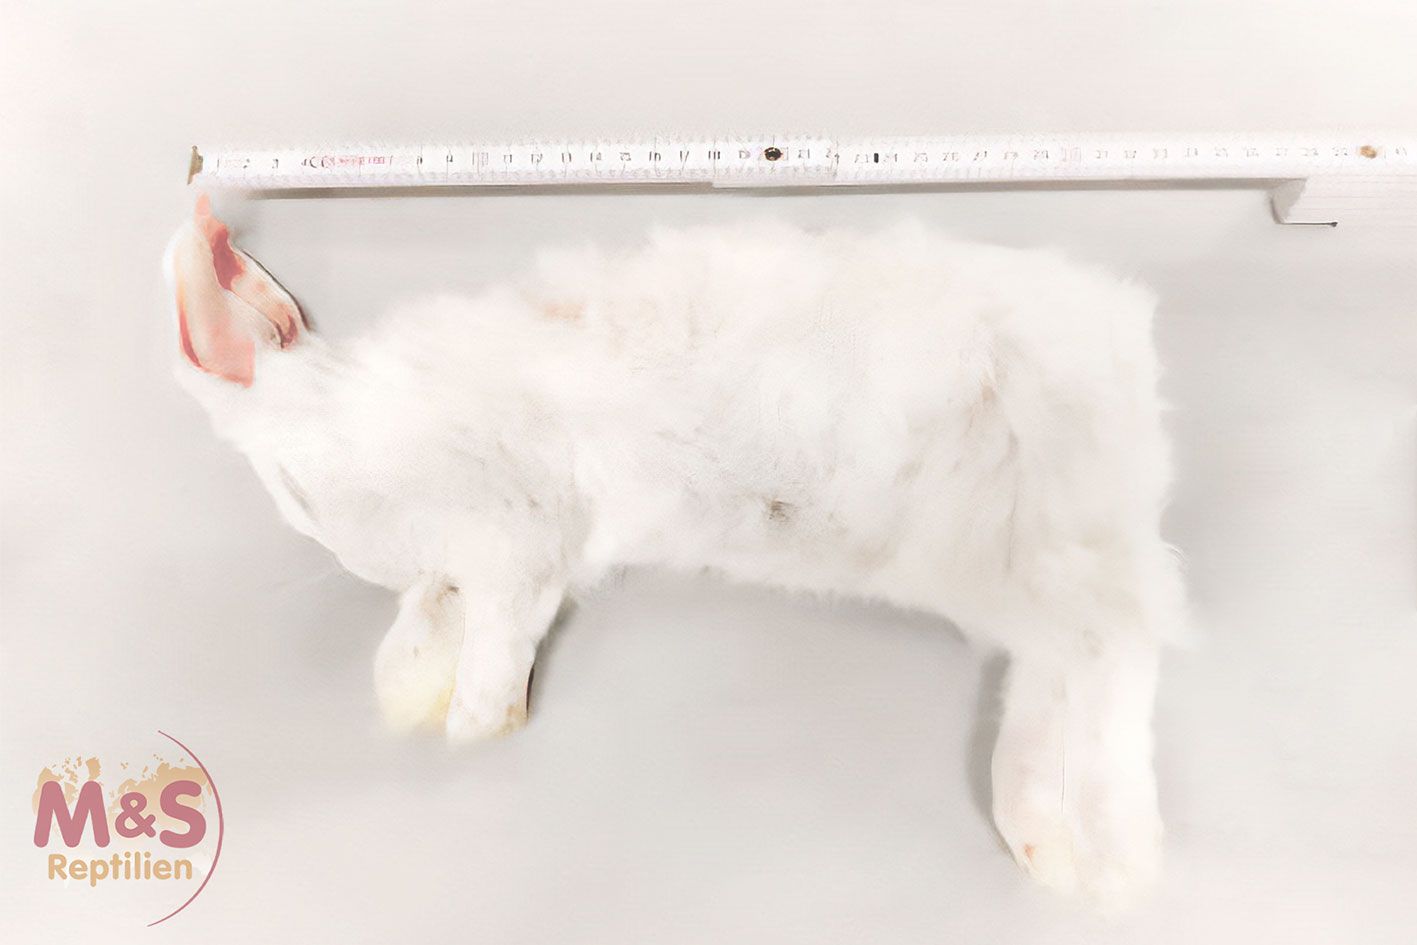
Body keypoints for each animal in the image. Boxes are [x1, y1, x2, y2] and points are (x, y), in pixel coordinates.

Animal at [164, 195, 1185, 910]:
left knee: (1115, 652)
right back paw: (1047, 840)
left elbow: (489, 637)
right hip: (1005, 559)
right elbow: (441, 613)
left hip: (1035, 538)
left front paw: (472, 725)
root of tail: (1122, 341)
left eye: (295, 490)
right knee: (1072, 659)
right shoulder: (516, 548)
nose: (352, 564)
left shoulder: (512, 532)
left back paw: (1115, 862)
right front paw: (404, 689)